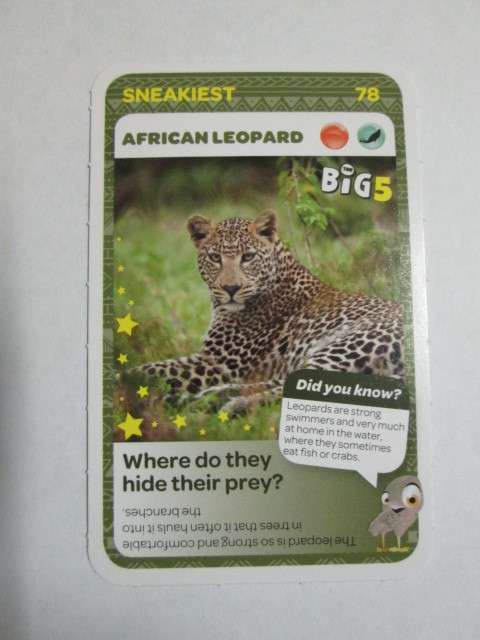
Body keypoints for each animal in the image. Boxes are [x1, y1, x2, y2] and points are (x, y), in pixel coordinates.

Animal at [125, 210, 403, 414]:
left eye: (248, 257)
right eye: (215, 258)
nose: (231, 288)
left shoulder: (219, 363)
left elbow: (151, 370)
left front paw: (123, 380)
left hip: (345, 345)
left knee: (297, 387)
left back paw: (225, 403)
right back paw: (208, 398)